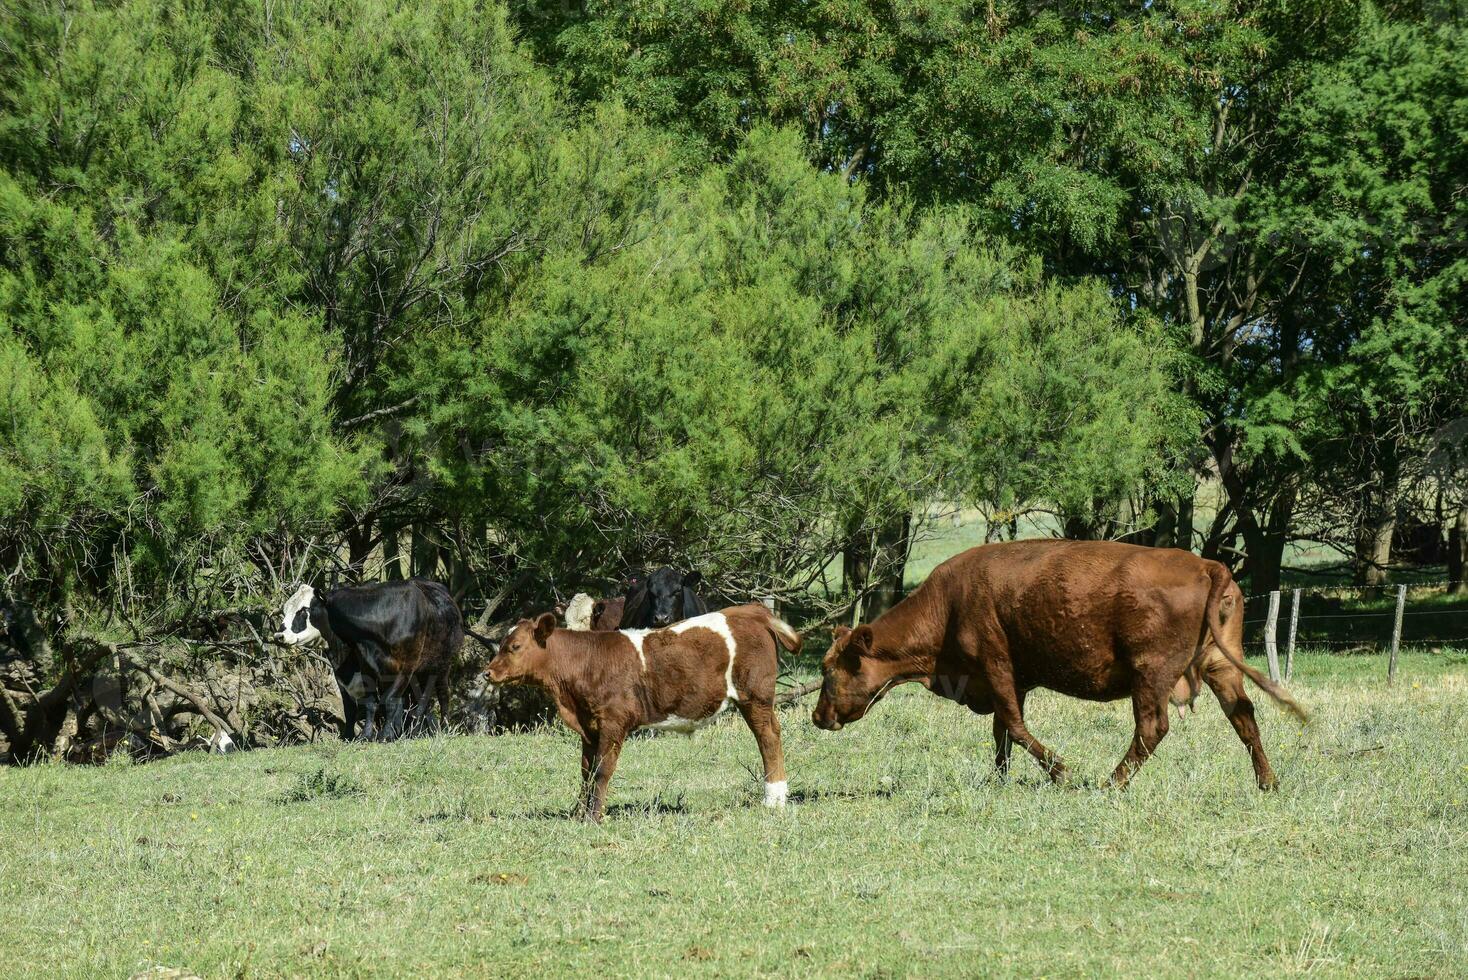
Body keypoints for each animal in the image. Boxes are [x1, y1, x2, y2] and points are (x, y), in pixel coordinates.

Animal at [271, 578, 463, 739]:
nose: (279, 636)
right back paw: (411, 731)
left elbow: (390, 701)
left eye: (304, 610)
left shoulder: (406, 667)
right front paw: (360, 735)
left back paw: (440, 728)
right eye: (285, 610)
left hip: (441, 667)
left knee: (438, 697)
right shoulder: (364, 667)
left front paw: (385, 735)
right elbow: (362, 705)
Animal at [484, 604, 804, 821]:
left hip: (755, 696)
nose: (487, 673)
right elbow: (586, 771)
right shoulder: (589, 727)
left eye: (515, 646)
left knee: (768, 737)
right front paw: (578, 814)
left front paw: (594, 818)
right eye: (501, 645)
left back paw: (773, 798)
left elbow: (602, 771)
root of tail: (750, 610)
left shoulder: (613, 722)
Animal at [816, 539, 1309, 792]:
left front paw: (1061, 772)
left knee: (1152, 728)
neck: (949, 604)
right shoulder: (1012, 680)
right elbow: (1001, 731)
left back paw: (1111, 784)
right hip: (1220, 666)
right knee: (1244, 717)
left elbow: (1014, 727)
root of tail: (1207, 565)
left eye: (828, 670)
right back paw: (1267, 782)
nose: (818, 716)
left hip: (1150, 673)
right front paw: (999, 781)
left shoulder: (995, 665)